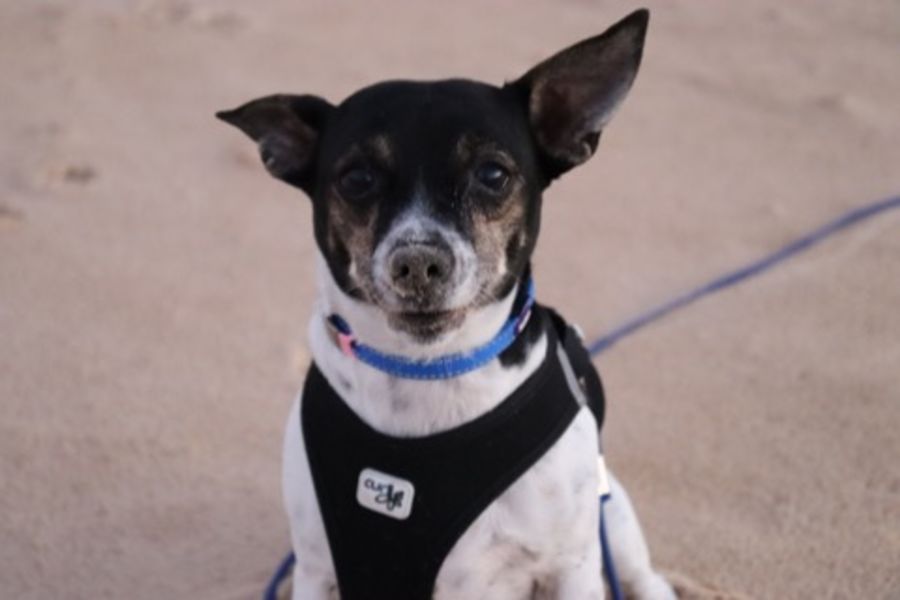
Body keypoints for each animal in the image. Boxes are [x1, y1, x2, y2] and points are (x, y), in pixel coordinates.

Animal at [218, 8, 675, 599]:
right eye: (357, 178)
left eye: (493, 174)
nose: (417, 263)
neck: (426, 373)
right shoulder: (317, 567)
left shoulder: (570, 567)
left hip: (610, 518)